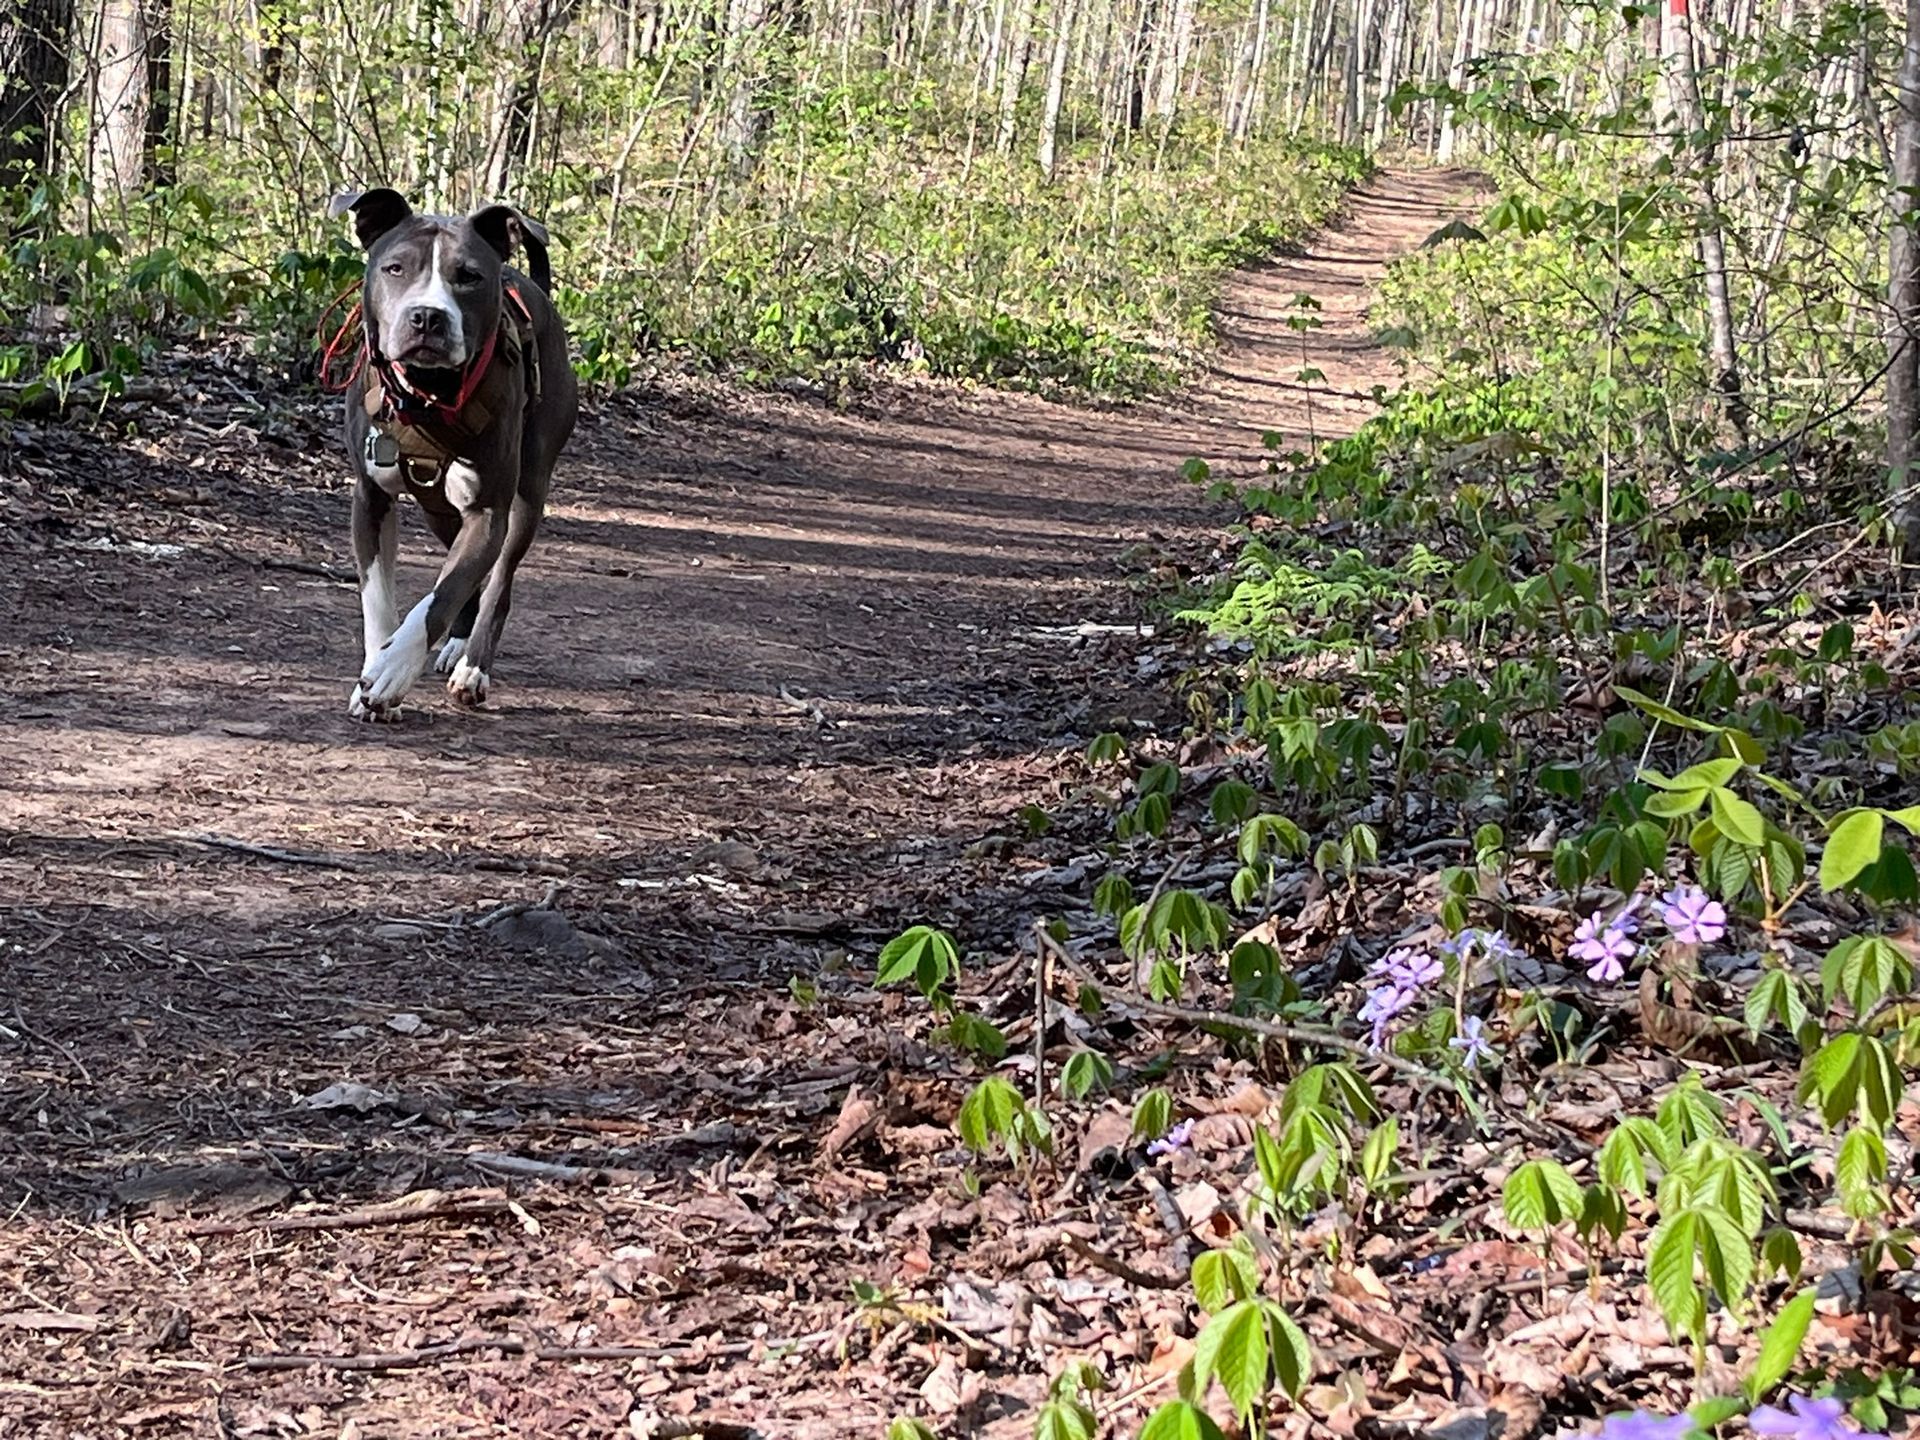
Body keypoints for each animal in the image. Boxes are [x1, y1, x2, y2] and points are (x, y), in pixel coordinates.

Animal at [330, 192, 576, 725]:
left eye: (469, 276)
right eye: (395, 267)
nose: (427, 316)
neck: (428, 395)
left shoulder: (487, 512)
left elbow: (441, 595)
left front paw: (391, 671)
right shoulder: (370, 500)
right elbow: (379, 599)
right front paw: (373, 672)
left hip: (527, 492)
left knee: (498, 582)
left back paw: (473, 666)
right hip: (439, 510)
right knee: (470, 574)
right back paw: (457, 645)